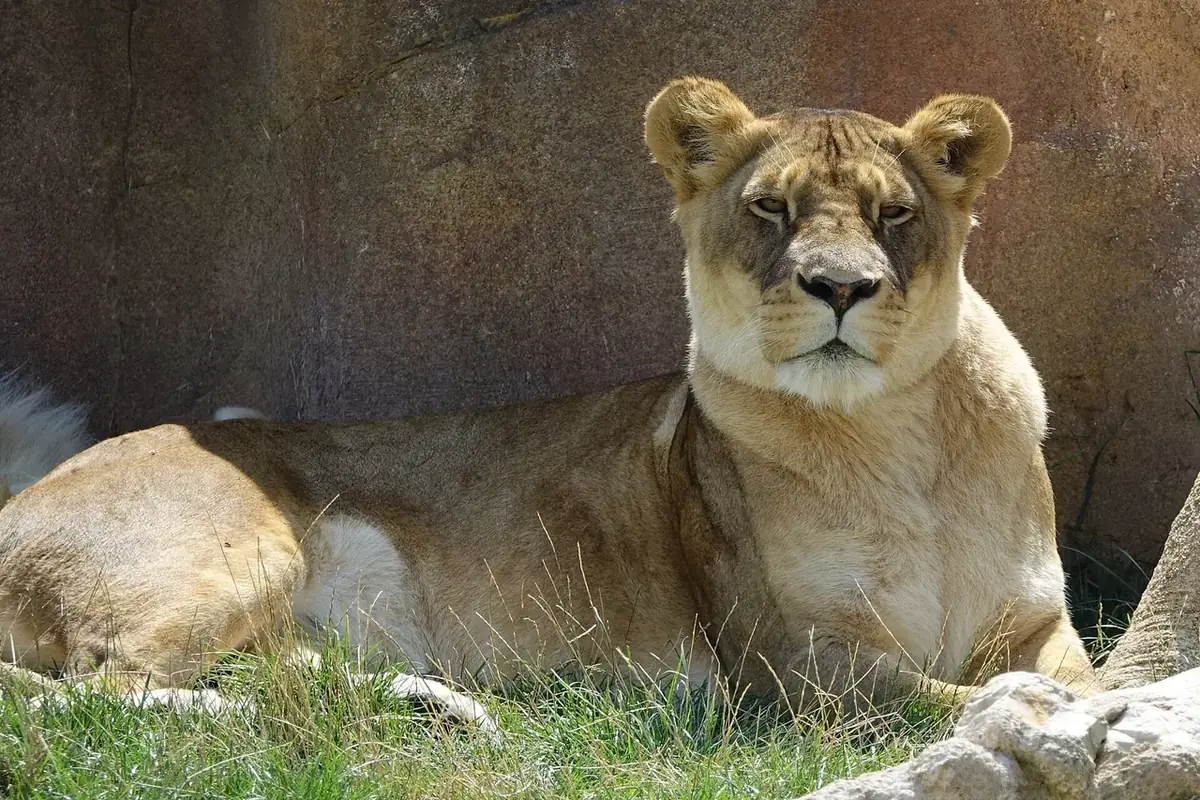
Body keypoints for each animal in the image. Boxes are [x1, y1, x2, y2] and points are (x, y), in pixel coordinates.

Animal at [0, 78, 1098, 726]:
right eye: (771, 208)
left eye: (895, 213)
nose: (840, 286)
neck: (896, 439)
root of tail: (19, 501)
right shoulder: (794, 660)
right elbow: (964, 696)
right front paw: (1035, 717)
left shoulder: (1040, 616)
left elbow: (1074, 676)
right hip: (230, 551)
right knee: (101, 690)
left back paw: (435, 708)